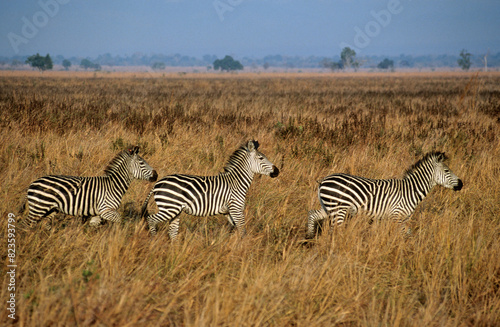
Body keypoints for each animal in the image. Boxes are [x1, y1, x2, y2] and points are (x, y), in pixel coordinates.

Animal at [20, 147, 157, 229]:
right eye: (142, 163)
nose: (156, 175)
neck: (114, 185)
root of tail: (32, 183)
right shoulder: (106, 210)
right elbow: (120, 220)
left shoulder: (97, 214)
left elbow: (91, 229)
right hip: (39, 208)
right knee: (26, 224)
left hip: (50, 210)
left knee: (42, 224)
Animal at [143, 140, 280, 238]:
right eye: (261, 158)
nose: (277, 171)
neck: (236, 182)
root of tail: (157, 183)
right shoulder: (236, 208)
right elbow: (242, 231)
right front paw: (243, 248)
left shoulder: (227, 212)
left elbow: (233, 228)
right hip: (169, 208)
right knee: (151, 220)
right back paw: (154, 241)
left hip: (175, 210)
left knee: (172, 231)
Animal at [306, 152, 462, 240]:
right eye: (447, 171)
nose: (461, 184)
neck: (411, 190)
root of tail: (323, 181)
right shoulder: (396, 216)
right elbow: (402, 235)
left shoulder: (403, 218)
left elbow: (408, 233)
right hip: (337, 209)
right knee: (334, 230)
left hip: (329, 207)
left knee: (313, 214)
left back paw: (309, 237)